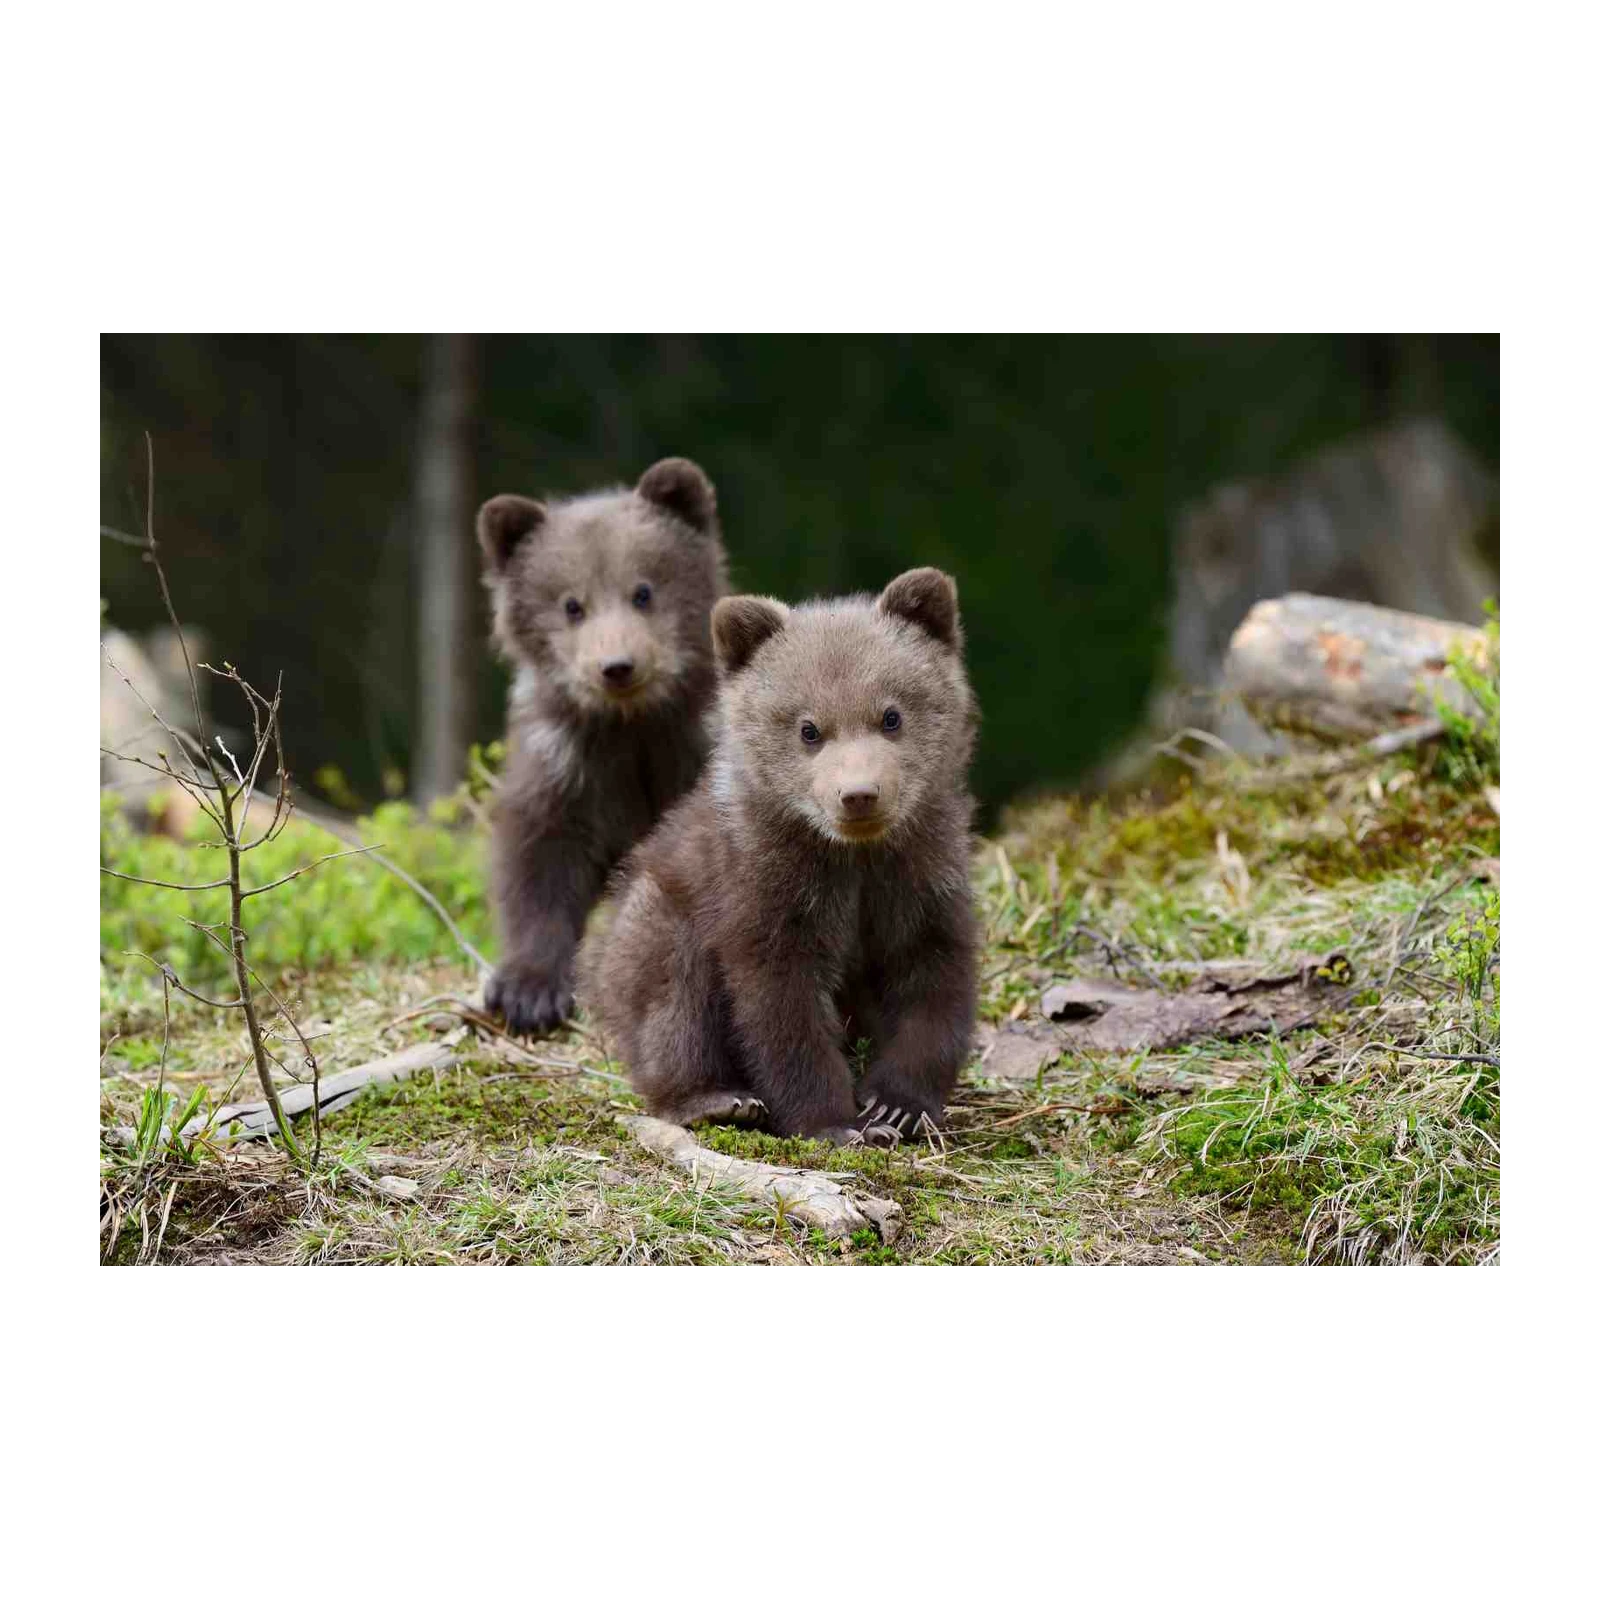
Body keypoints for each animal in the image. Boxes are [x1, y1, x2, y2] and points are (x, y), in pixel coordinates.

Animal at [477, 458, 728, 1035]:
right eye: (572, 604)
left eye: (643, 590)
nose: (617, 667)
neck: (629, 727)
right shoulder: (565, 764)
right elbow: (539, 860)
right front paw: (528, 992)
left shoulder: (689, 750)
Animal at [579, 567, 979, 1145]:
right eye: (808, 728)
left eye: (891, 715)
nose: (859, 794)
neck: (853, 857)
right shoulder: (766, 886)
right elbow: (781, 1006)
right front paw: (833, 1122)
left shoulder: (921, 872)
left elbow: (933, 979)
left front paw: (896, 1104)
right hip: (656, 918)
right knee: (672, 999)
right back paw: (715, 1099)